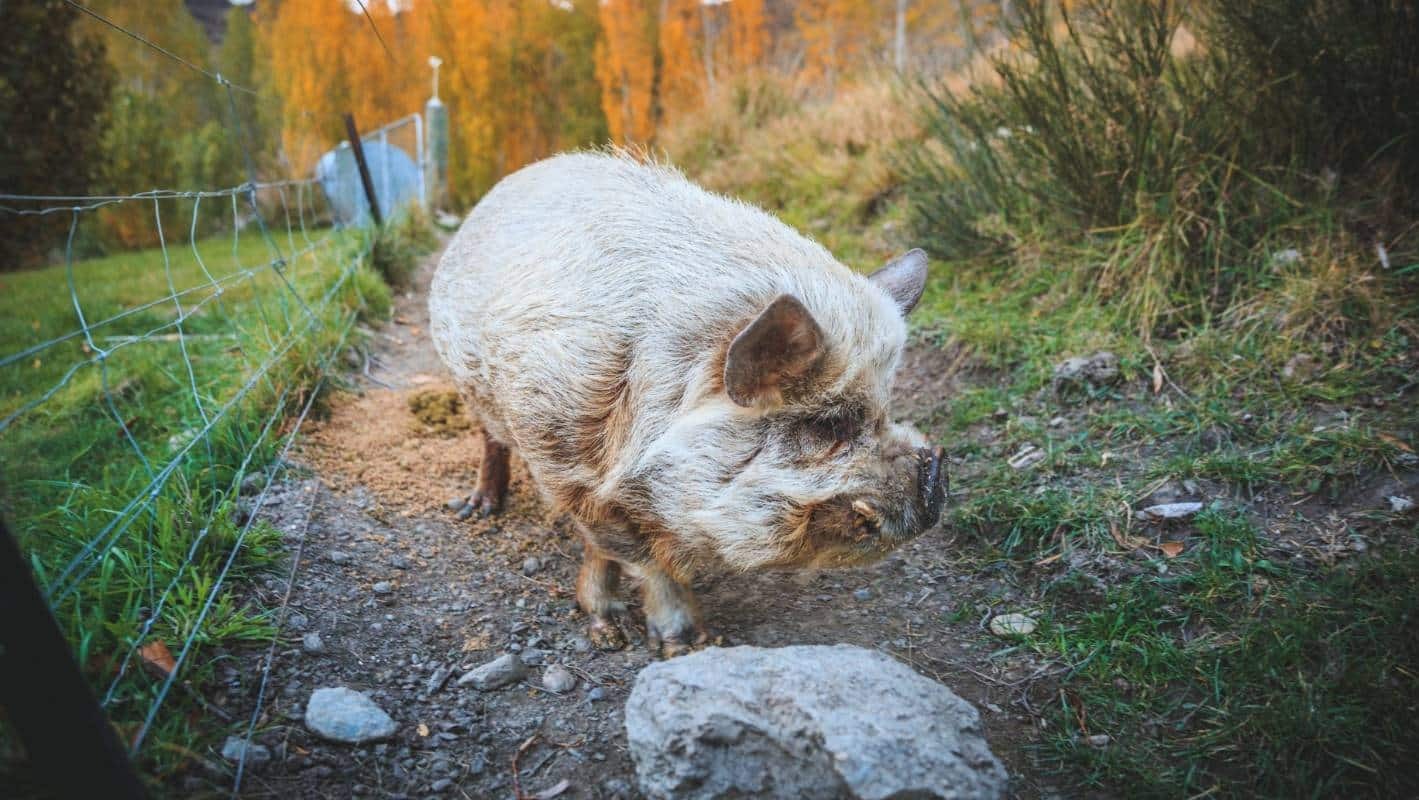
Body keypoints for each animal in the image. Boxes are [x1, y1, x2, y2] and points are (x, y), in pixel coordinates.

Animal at [429, 152, 946, 655]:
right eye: (827, 425)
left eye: (885, 410)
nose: (935, 472)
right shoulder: (563, 460)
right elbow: (630, 553)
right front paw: (671, 644)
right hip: (470, 385)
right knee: (490, 439)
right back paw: (477, 510)